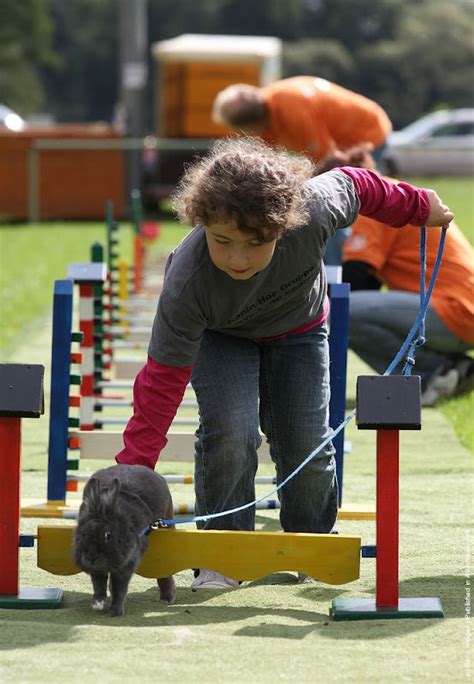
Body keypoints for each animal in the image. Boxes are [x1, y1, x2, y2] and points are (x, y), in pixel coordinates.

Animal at [73, 464, 177, 616]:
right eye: (83, 534)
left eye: (108, 535)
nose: (91, 557)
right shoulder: (97, 570)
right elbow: (98, 584)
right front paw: (97, 604)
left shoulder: (127, 563)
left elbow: (120, 588)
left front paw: (114, 612)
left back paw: (167, 598)